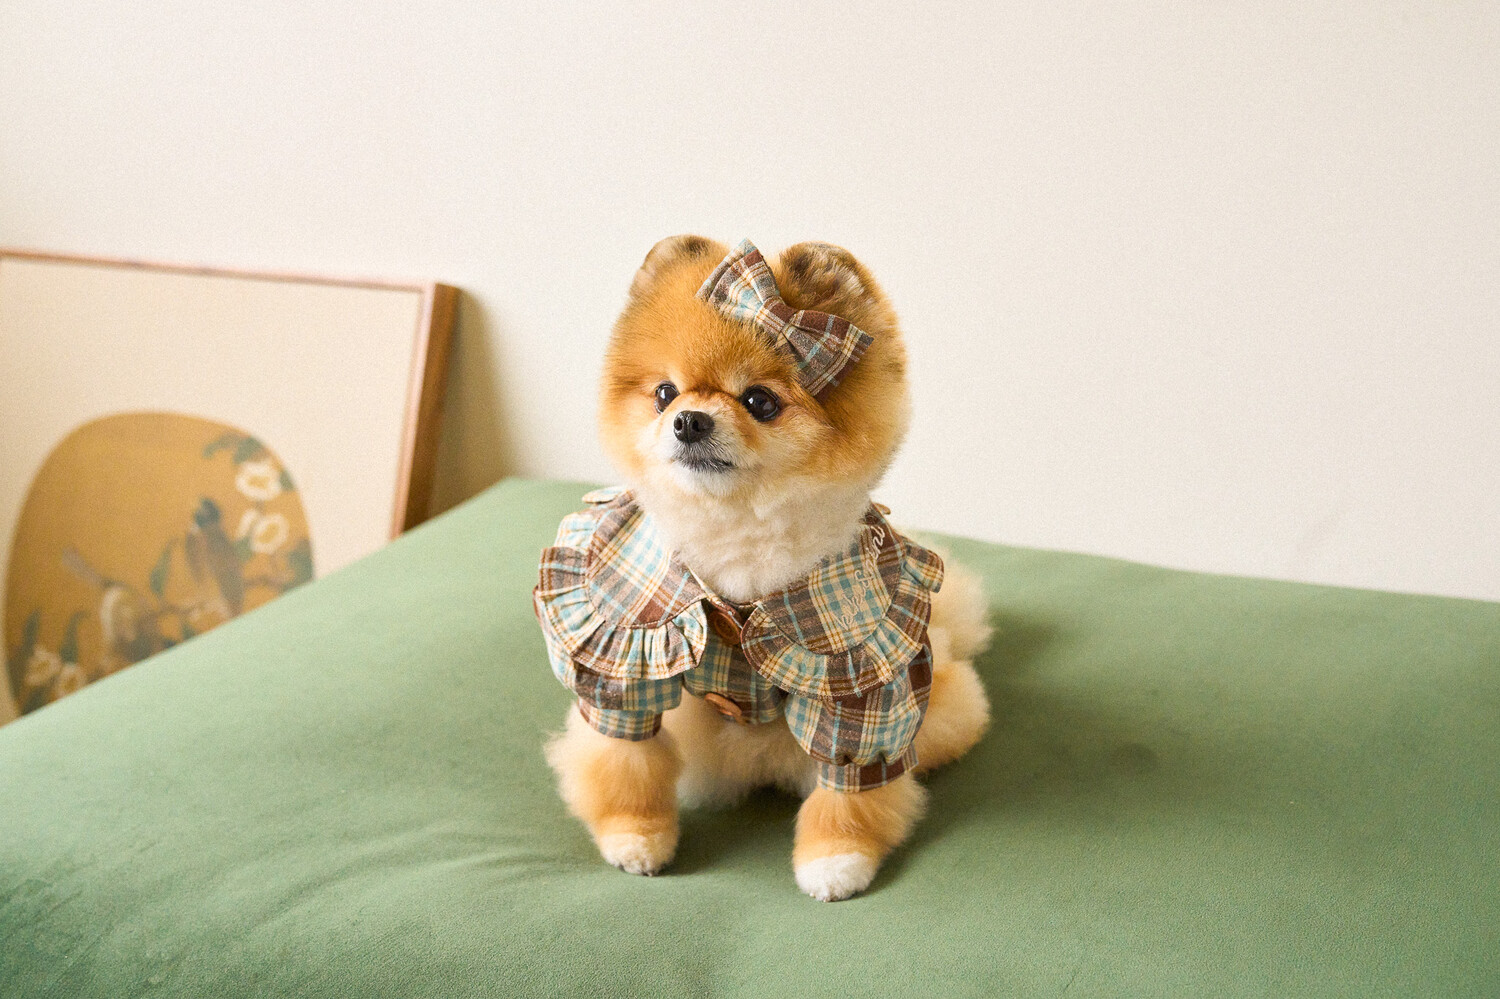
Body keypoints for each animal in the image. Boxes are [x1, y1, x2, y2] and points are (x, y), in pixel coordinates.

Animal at [537, 236, 991, 901]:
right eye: (665, 393)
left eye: (760, 401)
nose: (689, 420)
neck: (739, 543)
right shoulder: (623, 639)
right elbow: (625, 752)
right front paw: (635, 836)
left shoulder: (860, 671)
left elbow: (853, 776)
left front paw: (836, 860)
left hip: (942, 710)